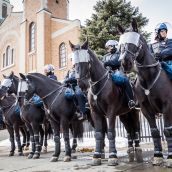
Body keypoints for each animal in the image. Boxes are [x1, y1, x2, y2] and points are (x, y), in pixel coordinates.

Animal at [117, 18, 172, 167]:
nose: (125, 63)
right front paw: (158, 156)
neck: (149, 78)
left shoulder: (167, 107)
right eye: (121, 44)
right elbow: (154, 131)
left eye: (136, 42)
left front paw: (170, 157)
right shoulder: (145, 109)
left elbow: (167, 130)